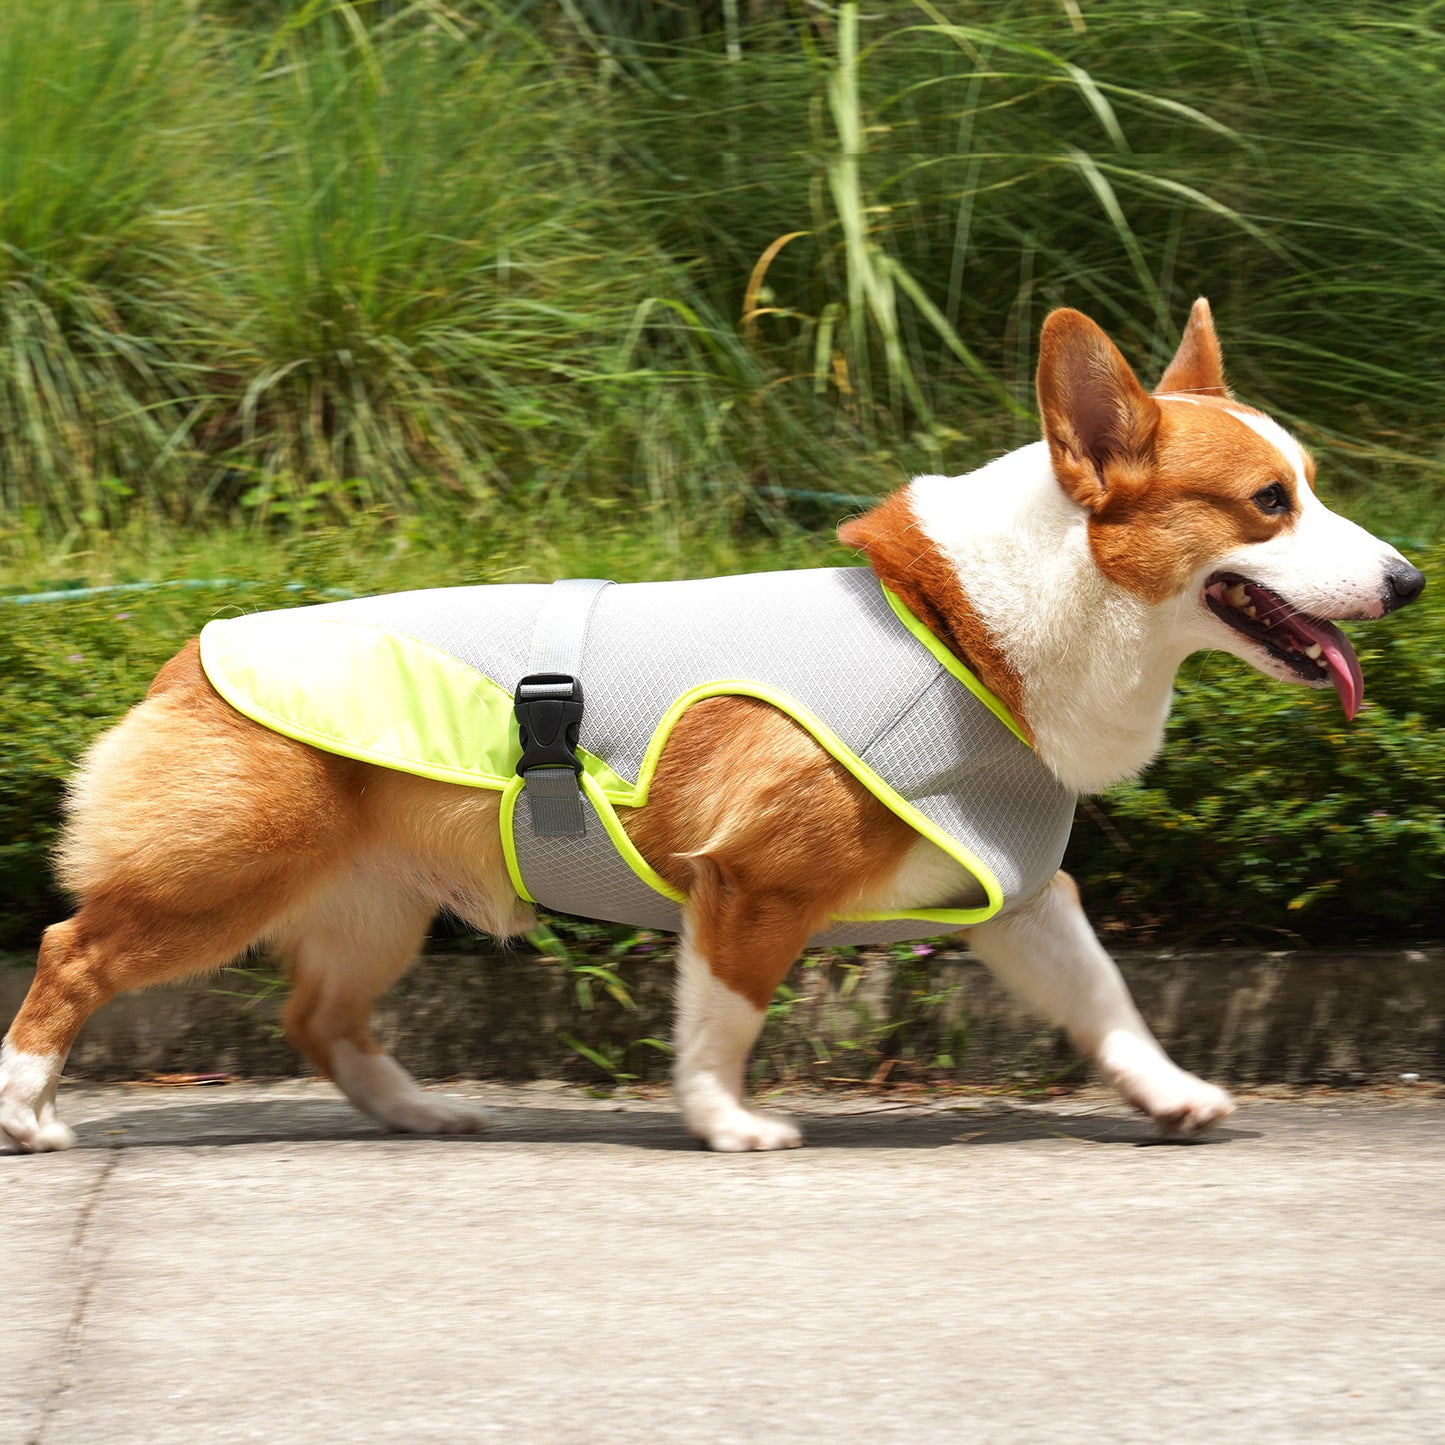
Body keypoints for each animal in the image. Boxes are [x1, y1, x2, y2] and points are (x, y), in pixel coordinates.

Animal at [0, 302, 1421, 1150]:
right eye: (1266, 502)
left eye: (1307, 486)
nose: (1409, 580)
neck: (968, 630)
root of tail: (188, 650)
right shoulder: (750, 883)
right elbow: (721, 1019)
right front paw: (726, 1123)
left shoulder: (1022, 898)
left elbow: (1107, 998)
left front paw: (1170, 1092)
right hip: (217, 879)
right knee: (72, 952)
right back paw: (29, 1112)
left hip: (376, 904)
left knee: (320, 1018)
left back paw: (423, 1108)